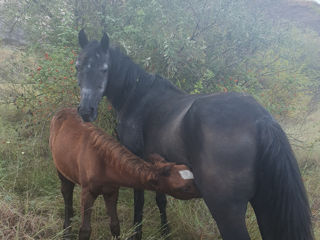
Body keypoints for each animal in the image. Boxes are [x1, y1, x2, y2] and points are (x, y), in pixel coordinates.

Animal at [49, 109, 200, 240]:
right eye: (184, 188)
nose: (202, 192)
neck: (103, 164)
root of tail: (61, 111)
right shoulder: (87, 192)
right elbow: (85, 230)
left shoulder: (112, 191)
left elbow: (115, 225)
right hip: (61, 170)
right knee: (66, 195)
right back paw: (66, 232)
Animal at [75, 30, 312, 240]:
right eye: (78, 66)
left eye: (105, 69)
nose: (86, 110)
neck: (138, 97)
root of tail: (260, 119)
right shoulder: (158, 163)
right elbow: (161, 199)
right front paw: (165, 233)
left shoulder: (135, 157)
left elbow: (139, 200)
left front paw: (137, 234)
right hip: (264, 205)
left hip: (226, 210)